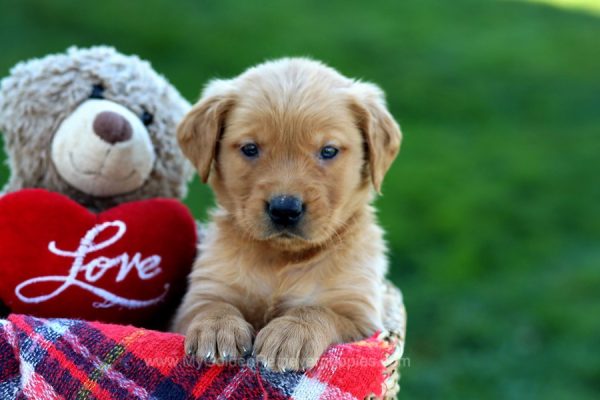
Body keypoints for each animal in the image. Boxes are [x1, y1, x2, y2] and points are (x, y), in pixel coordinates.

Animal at [171, 57, 400, 370]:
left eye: (328, 151)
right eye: (250, 148)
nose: (285, 209)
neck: (282, 257)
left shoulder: (358, 315)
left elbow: (316, 310)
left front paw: (291, 334)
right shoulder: (201, 294)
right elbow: (213, 305)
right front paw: (217, 329)